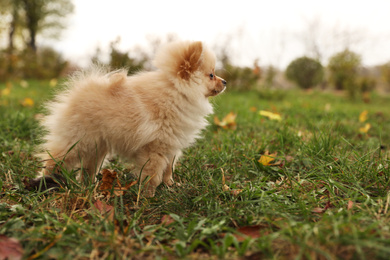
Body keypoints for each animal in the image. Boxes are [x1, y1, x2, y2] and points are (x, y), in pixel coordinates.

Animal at [38, 40, 225, 196]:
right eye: (211, 75)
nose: (224, 82)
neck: (176, 93)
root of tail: (80, 90)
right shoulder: (155, 148)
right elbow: (154, 174)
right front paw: (148, 195)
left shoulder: (171, 146)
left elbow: (168, 170)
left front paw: (171, 186)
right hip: (78, 141)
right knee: (55, 159)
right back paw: (46, 183)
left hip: (97, 146)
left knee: (88, 168)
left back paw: (89, 187)